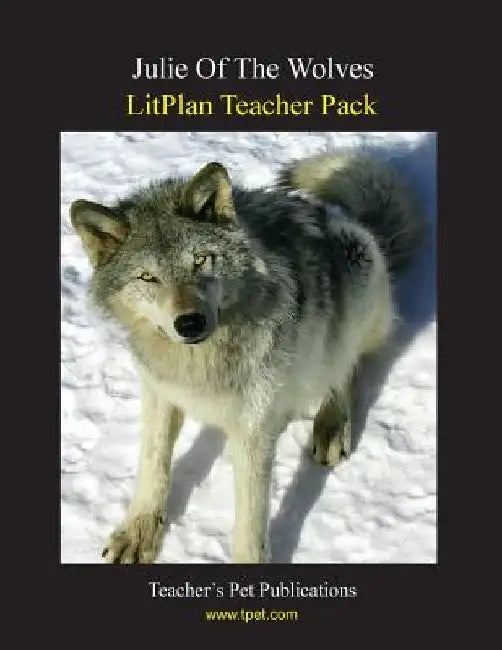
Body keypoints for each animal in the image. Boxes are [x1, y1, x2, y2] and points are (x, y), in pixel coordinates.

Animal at [70, 150, 424, 563]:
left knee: (345, 366)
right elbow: (152, 464)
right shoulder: (160, 392)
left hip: (354, 275)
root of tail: (357, 222)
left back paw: (332, 424)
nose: (189, 322)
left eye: (201, 260)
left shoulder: (251, 428)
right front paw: (138, 533)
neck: (200, 363)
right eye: (147, 278)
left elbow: (251, 521)